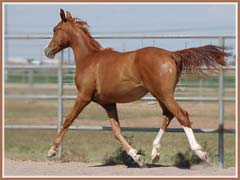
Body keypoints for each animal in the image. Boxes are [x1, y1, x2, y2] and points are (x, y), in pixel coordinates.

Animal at [44, 8, 227, 166]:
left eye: (55, 29)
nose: (47, 51)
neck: (89, 59)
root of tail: (171, 54)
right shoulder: (108, 103)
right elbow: (117, 131)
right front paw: (137, 157)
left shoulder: (84, 95)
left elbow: (68, 120)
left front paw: (51, 150)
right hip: (159, 94)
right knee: (168, 115)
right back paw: (155, 153)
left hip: (164, 93)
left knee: (182, 115)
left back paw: (200, 153)